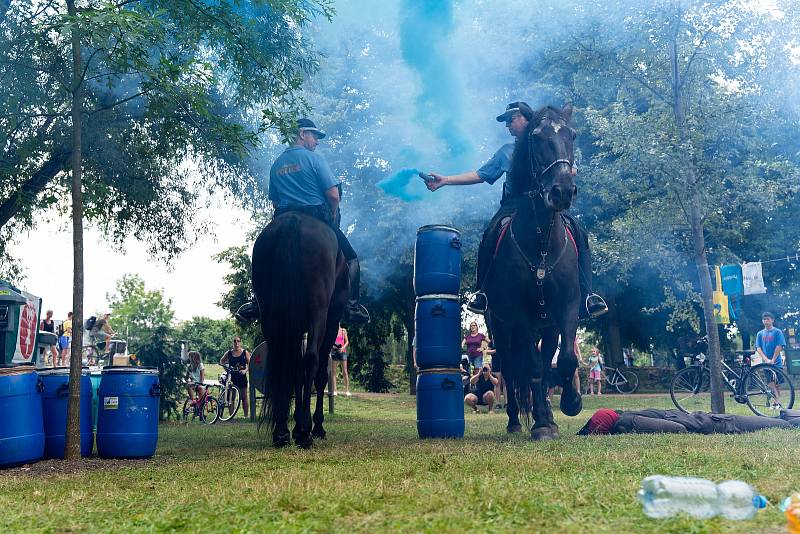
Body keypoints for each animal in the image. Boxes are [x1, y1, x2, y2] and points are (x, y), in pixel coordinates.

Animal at [252, 211, 348, 450]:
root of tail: (293, 220)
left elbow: (295, 370)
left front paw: (294, 425)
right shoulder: (331, 324)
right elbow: (319, 374)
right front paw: (315, 426)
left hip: (271, 315)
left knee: (284, 360)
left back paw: (281, 432)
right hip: (319, 312)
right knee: (312, 358)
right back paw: (305, 432)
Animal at [482, 104, 580, 444]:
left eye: (571, 134)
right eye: (536, 138)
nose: (562, 191)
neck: (541, 243)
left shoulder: (567, 307)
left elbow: (564, 359)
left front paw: (570, 404)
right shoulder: (518, 313)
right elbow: (533, 368)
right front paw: (538, 426)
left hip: (546, 326)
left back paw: (548, 414)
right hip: (500, 328)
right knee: (513, 370)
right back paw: (516, 419)